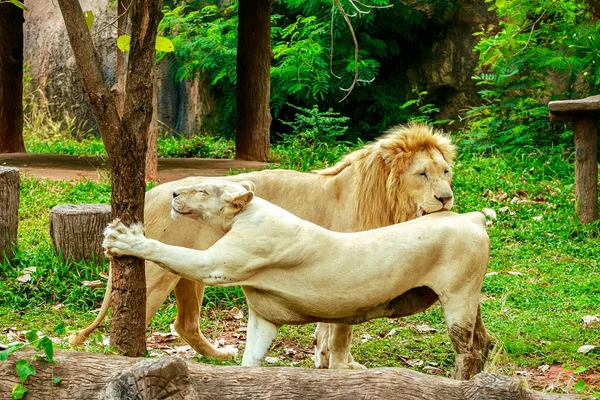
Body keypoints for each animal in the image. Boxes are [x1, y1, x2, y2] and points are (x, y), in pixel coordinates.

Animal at [71, 122, 454, 368]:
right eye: (422, 174)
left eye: (446, 172)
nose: (447, 198)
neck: (387, 199)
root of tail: (151, 193)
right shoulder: (350, 271)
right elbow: (339, 330)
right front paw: (343, 365)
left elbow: (326, 327)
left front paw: (324, 359)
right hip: (160, 276)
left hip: (190, 273)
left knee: (185, 324)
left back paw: (220, 357)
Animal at [104, 180, 492, 380]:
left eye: (202, 190)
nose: (173, 194)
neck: (243, 216)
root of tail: (471, 217)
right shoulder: (263, 316)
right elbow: (250, 361)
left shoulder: (217, 262)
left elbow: (167, 249)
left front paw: (121, 238)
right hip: (469, 301)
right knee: (484, 342)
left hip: (457, 300)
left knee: (468, 350)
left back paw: (459, 383)